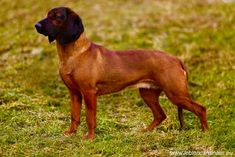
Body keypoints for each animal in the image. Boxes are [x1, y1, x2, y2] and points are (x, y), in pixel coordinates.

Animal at [35, 7, 207, 140]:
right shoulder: (75, 93)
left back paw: (205, 132)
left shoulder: (89, 93)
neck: (74, 54)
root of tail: (176, 59)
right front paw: (71, 133)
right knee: (160, 115)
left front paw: (89, 137)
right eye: (47, 14)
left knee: (201, 109)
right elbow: (74, 116)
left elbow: (90, 117)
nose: (36, 25)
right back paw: (145, 131)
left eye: (56, 17)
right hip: (148, 94)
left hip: (176, 94)